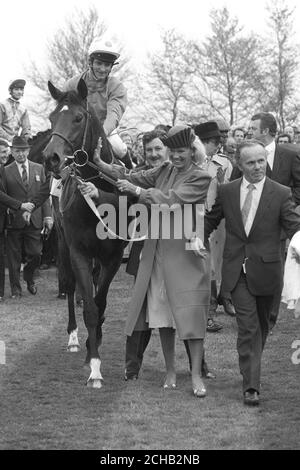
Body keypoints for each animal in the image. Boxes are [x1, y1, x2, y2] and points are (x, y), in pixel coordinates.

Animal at [44, 79, 128, 388]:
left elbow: (100, 303)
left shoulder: (113, 256)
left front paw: (97, 345)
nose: (51, 158)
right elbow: (90, 307)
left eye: (79, 118)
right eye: (51, 117)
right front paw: (94, 367)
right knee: (70, 288)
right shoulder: (78, 250)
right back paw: (73, 338)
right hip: (61, 243)